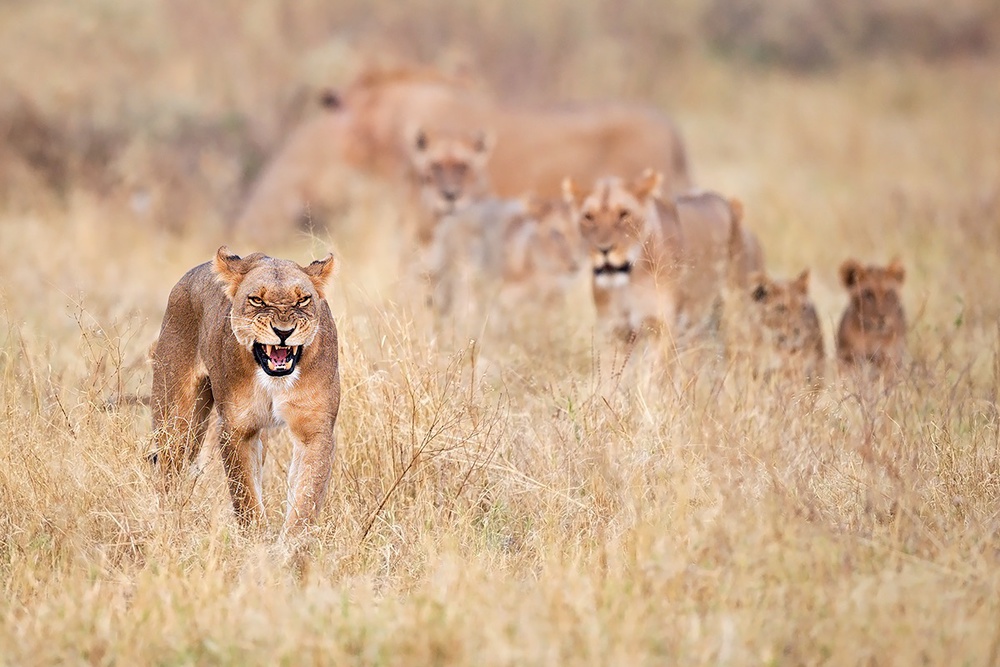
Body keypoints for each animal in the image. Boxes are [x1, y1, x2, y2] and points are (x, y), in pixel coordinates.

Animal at [150, 246, 339, 543]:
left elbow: (306, 496)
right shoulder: (236, 428)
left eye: (303, 300)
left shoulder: (315, 429)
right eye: (257, 300)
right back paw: (164, 523)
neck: (273, 381)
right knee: (167, 472)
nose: (283, 332)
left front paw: (291, 547)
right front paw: (257, 543)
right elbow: (245, 495)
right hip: (178, 423)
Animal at [563, 170, 739, 345]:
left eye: (624, 214)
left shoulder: (662, 327)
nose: (603, 249)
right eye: (588, 217)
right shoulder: (613, 329)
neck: (626, 284)